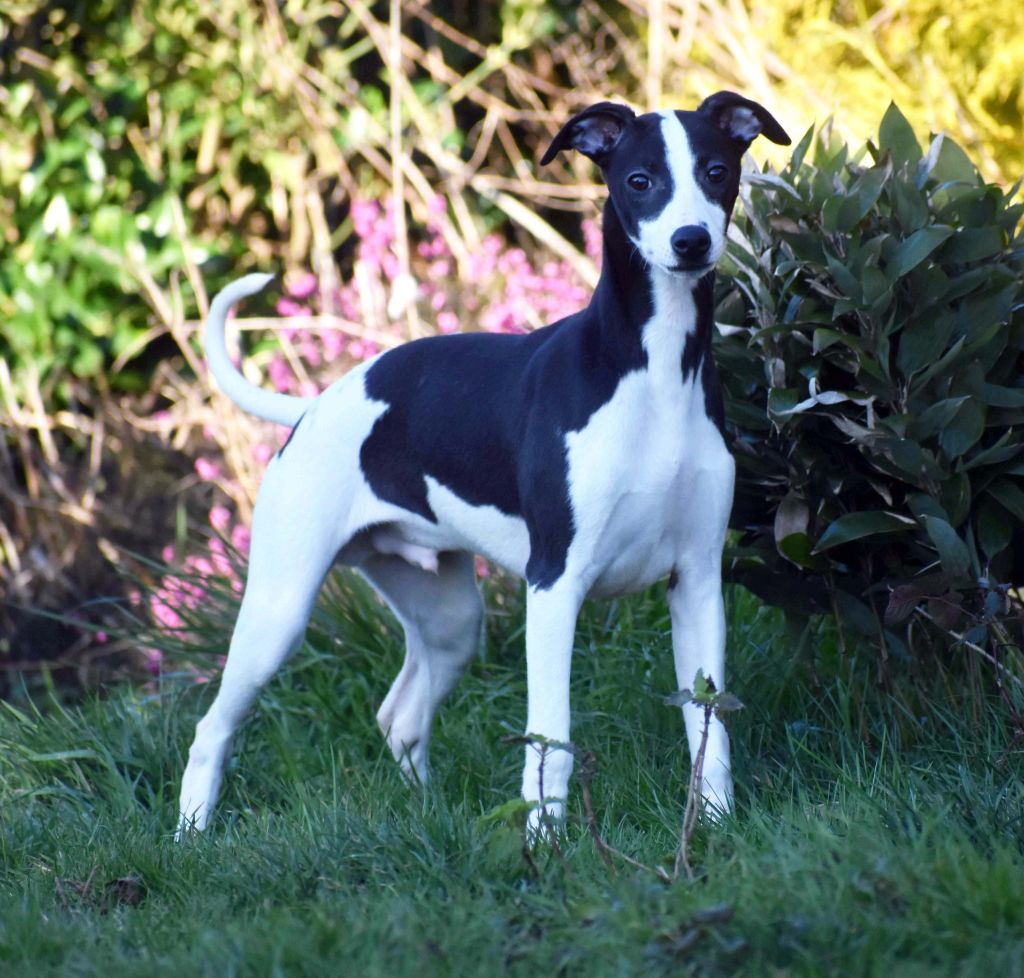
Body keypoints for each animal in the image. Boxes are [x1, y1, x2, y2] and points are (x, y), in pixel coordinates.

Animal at [176, 91, 786, 835]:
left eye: (717, 171)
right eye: (640, 180)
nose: (690, 241)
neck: (651, 373)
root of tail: (314, 407)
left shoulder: (696, 583)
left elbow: (709, 725)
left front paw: (716, 826)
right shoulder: (553, 586)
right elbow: (551, 739)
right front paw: (546, 841)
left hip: (447, 620)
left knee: (400, 713)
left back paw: (424, 814)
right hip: (279, 609)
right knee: (211, 728)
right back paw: (191, 833)